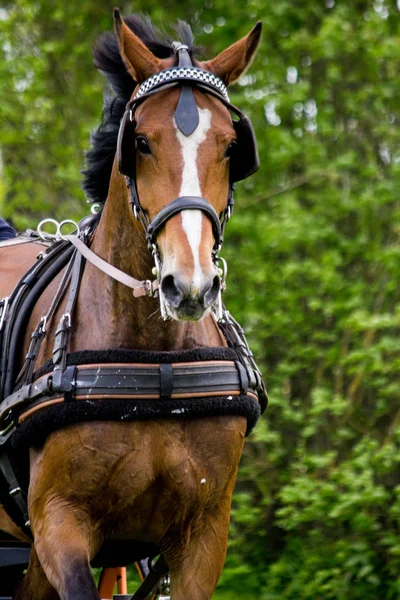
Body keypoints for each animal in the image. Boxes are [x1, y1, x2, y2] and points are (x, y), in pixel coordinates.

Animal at [0, 10, 264, 600]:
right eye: (140, 142)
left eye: (231, 146)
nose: (189, 285)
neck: (154, 358)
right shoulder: (58, 524)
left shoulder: (203, 535)